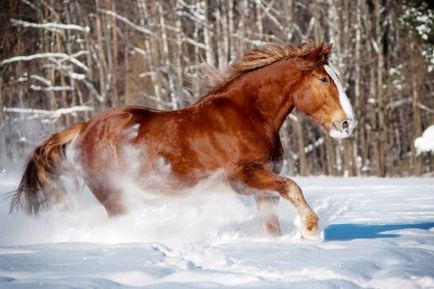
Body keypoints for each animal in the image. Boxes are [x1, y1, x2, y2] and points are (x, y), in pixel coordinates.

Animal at [10, 40, 356, 238]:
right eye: (323, 79)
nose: (347, 124)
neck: (249, 115)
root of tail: (84, 128)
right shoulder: (243, 177)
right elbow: (292, 186)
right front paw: (310, 230)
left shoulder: (263, 185)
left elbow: (272, 222)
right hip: (113, 195)